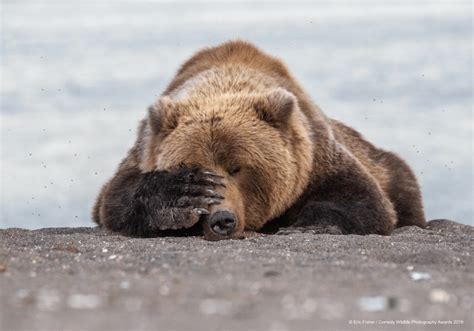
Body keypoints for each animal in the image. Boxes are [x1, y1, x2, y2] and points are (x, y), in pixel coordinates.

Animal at [92, 40, 426, 240]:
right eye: (193, 166)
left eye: (237, 167)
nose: (221, 220)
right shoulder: (144, 149)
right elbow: (115, 198)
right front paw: (182, 194)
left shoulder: (314, 155)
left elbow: (362, 199)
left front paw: (306, 225)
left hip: (386, 166)